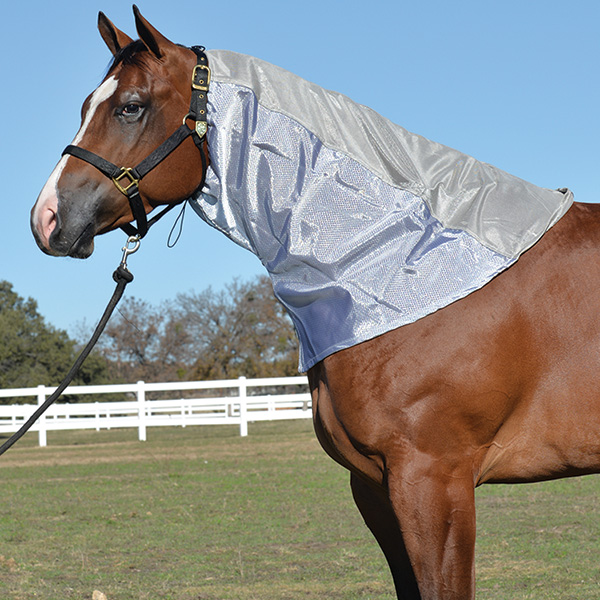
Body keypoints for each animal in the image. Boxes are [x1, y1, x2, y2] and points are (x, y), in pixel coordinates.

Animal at [29, 5, 600, 600]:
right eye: (86, 106)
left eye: (130, 107)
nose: (47, 217)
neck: (396, 261)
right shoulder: (375, 487)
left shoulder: (434, 481)